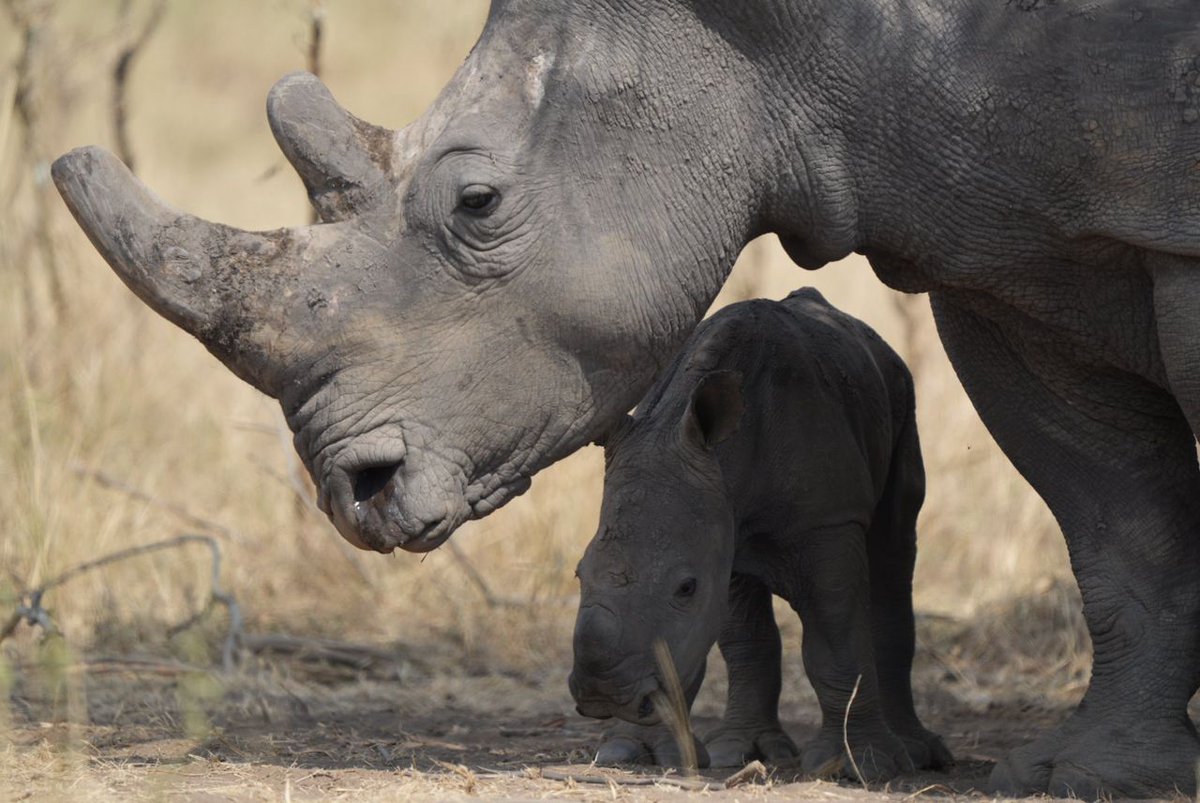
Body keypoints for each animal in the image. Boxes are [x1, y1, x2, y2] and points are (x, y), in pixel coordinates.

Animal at [570, 289, 951, 778]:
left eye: (686, 587)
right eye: (579, 574)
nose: (605, 697)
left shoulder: (829, 518)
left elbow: (837, 636)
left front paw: (859, 765)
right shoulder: (722, 526)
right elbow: (740, 640)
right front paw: (638, 754)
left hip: (901, 391)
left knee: (894, 550)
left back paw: (916, 756)